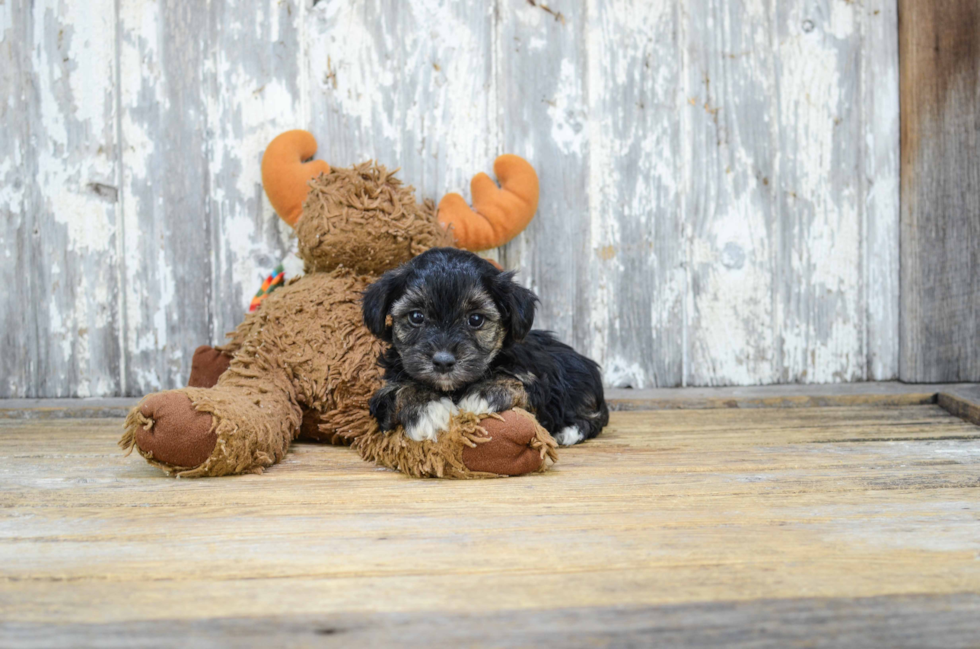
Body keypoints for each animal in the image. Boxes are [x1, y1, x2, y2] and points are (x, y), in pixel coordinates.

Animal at [362, 244, 604, 446]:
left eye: (476, 319)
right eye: (416, 316)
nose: (443, 361)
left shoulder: (542, 384)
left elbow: (521, 382)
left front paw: (484, 393)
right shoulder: (383, 391)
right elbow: (396, 391)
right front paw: (427, 408)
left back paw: (568, 431)